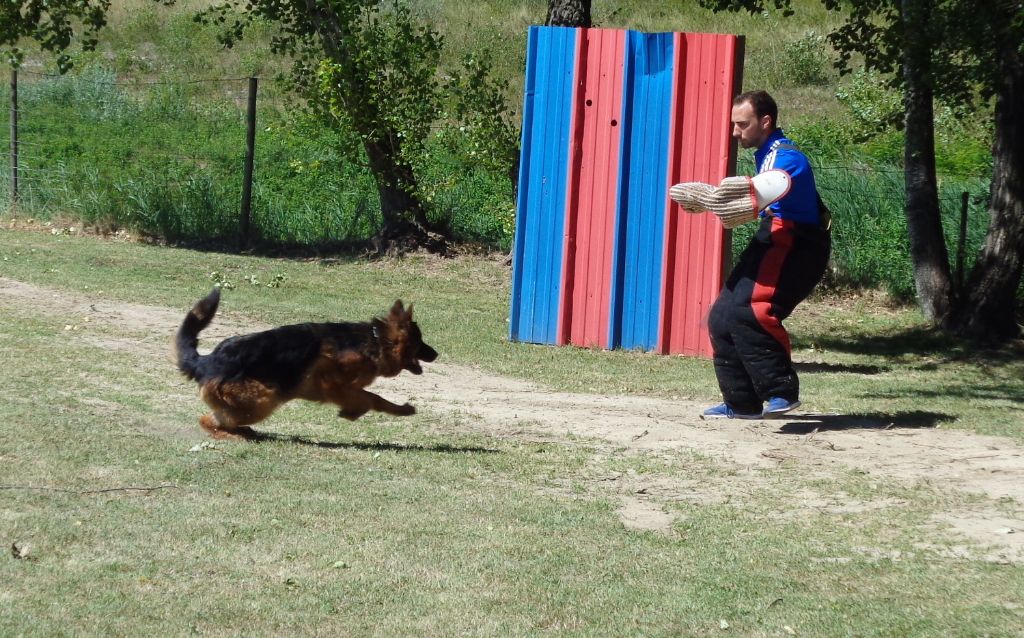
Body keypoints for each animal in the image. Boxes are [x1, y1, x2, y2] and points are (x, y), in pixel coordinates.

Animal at [175, 288, 436, 438]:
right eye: (420, 342)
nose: (436, 354)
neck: (376, 340)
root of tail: (206, 361)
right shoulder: (331, 382)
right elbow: (371, 398)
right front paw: (354, 412)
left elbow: (375, 398)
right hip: (265, 397)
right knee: (207, 420)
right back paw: (234, 434)